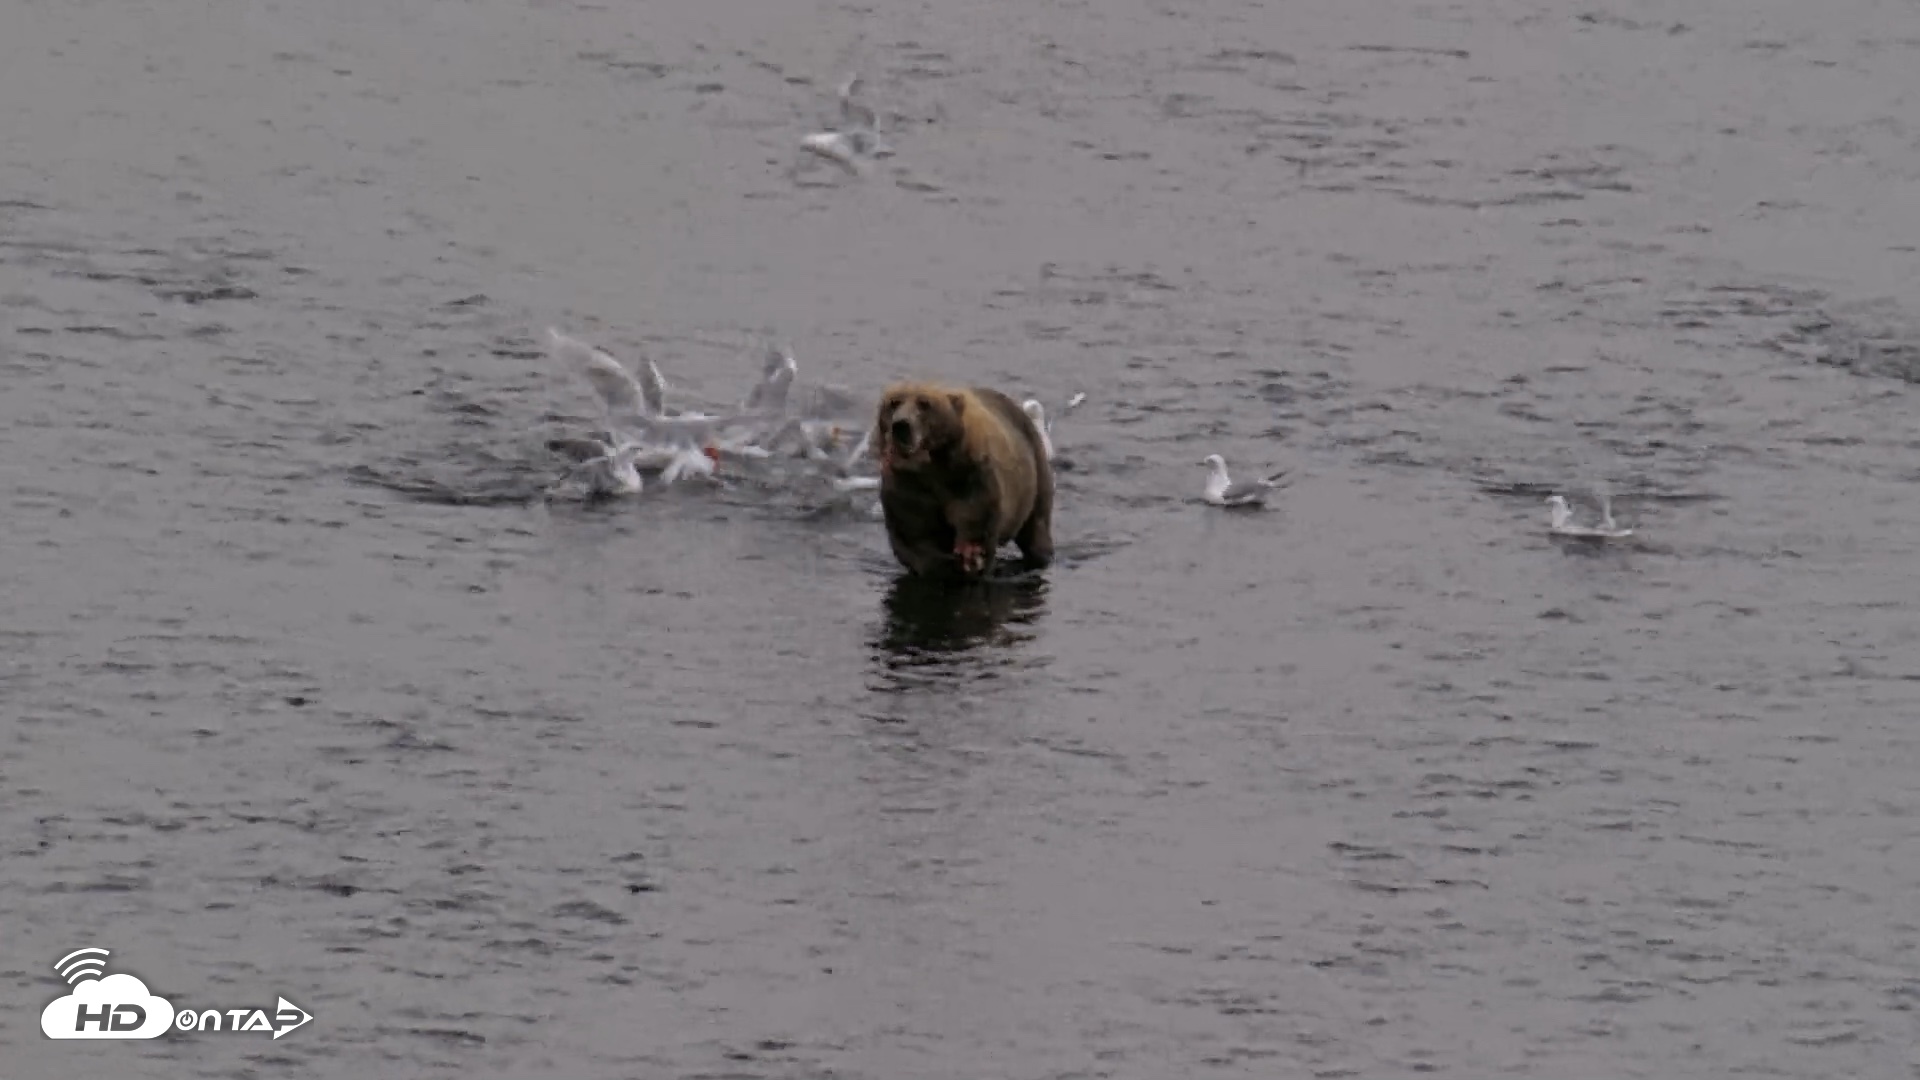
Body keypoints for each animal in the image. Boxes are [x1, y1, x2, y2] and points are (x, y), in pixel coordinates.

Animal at [873, 381, 1055, 579]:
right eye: (893, 402)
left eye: (925, 403)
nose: (900, 425)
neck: (932, 467)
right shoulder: (908, 484)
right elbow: (913, 530)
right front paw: (941, 564)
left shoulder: (969, 475)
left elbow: (976, 517)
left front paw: (972, 557)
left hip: (1034, 471)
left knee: (1036, 526)